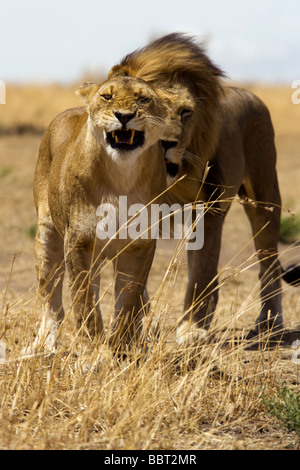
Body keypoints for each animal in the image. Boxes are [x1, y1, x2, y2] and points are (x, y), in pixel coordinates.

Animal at [32, 76, 170, 352]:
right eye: (107, 97)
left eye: (143, 99)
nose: (124, 116)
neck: (121, 177)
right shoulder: (79, 242)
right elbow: (84, 301)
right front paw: (92, 349)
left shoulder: (139, 245)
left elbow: (128, 299)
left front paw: (120, 347)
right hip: (48, 237)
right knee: (52, 302)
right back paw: (45, 346)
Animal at [110, 32, 300, 342]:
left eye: (185, 112)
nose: (165, 143)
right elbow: (132, 274)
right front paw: (136, 322)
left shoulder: (208, 208)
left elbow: (201, 270)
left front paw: (191, 329)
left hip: (264, 194)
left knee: (267, 260)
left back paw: (269, 321)